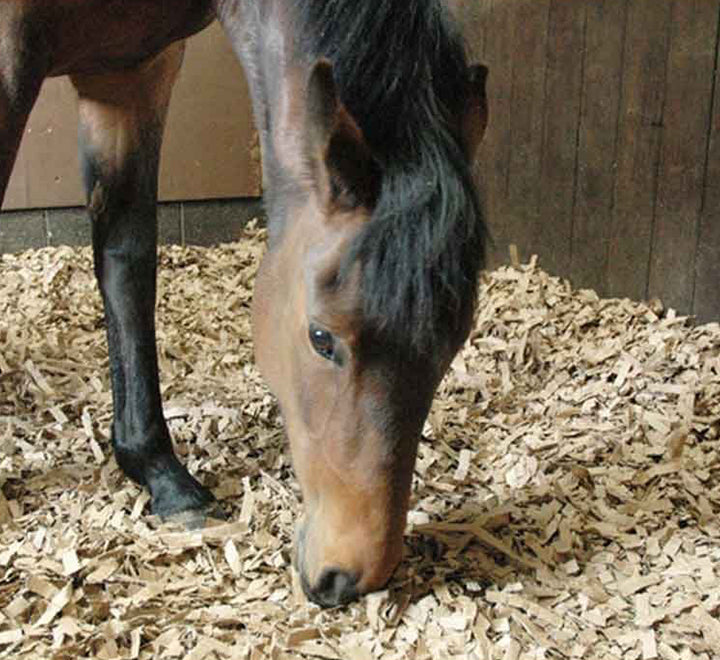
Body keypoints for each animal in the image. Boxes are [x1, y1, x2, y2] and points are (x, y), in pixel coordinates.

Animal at [0, 0, 488, 607]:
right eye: (321, 337)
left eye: (451, 347)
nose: (348, 578)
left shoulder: (133, 69)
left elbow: (125, 262)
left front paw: (162, 474)